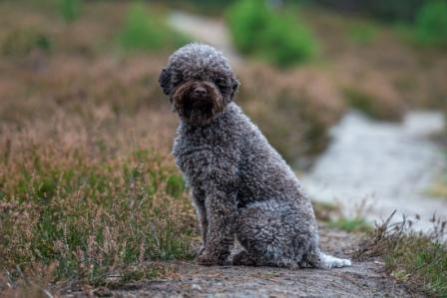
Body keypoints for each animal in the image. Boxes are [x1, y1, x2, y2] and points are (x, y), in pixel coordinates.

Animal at [159, 43, 352, 270]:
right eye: (187, 75)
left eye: (217, 79)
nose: (200, 91)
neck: (204, 124)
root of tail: (313, 248)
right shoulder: (198, 186)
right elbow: (206, 223)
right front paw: (204, 249)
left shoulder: (220, 186)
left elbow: (219, 225)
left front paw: (212, 256)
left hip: (252, 217)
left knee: (285, 260)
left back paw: (246, 258)